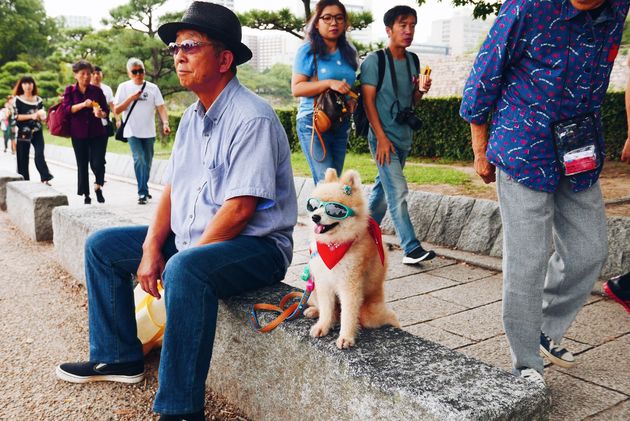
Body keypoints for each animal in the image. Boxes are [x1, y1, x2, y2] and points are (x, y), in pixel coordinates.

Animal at [304, 167, 400, 348]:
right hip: (313, 290)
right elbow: (326, 309)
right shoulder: (323, 282)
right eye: (314, 206)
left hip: (368, 312)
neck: (334, 244)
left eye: (335, 209)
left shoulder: (350, 285)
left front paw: (346, 337)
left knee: (381, 316)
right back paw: (314, 311)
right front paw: (322, 326)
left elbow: (348, 315)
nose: (315, 217)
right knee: (329, 311)